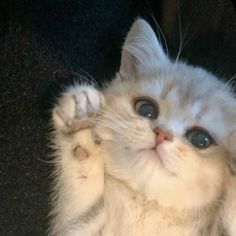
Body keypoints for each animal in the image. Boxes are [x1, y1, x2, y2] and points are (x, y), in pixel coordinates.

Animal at [48, 19, 235, 235]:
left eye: (201, 139)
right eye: (146, 109)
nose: (162, 134)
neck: (146, 206)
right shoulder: (79, 228)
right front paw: (81, 116)